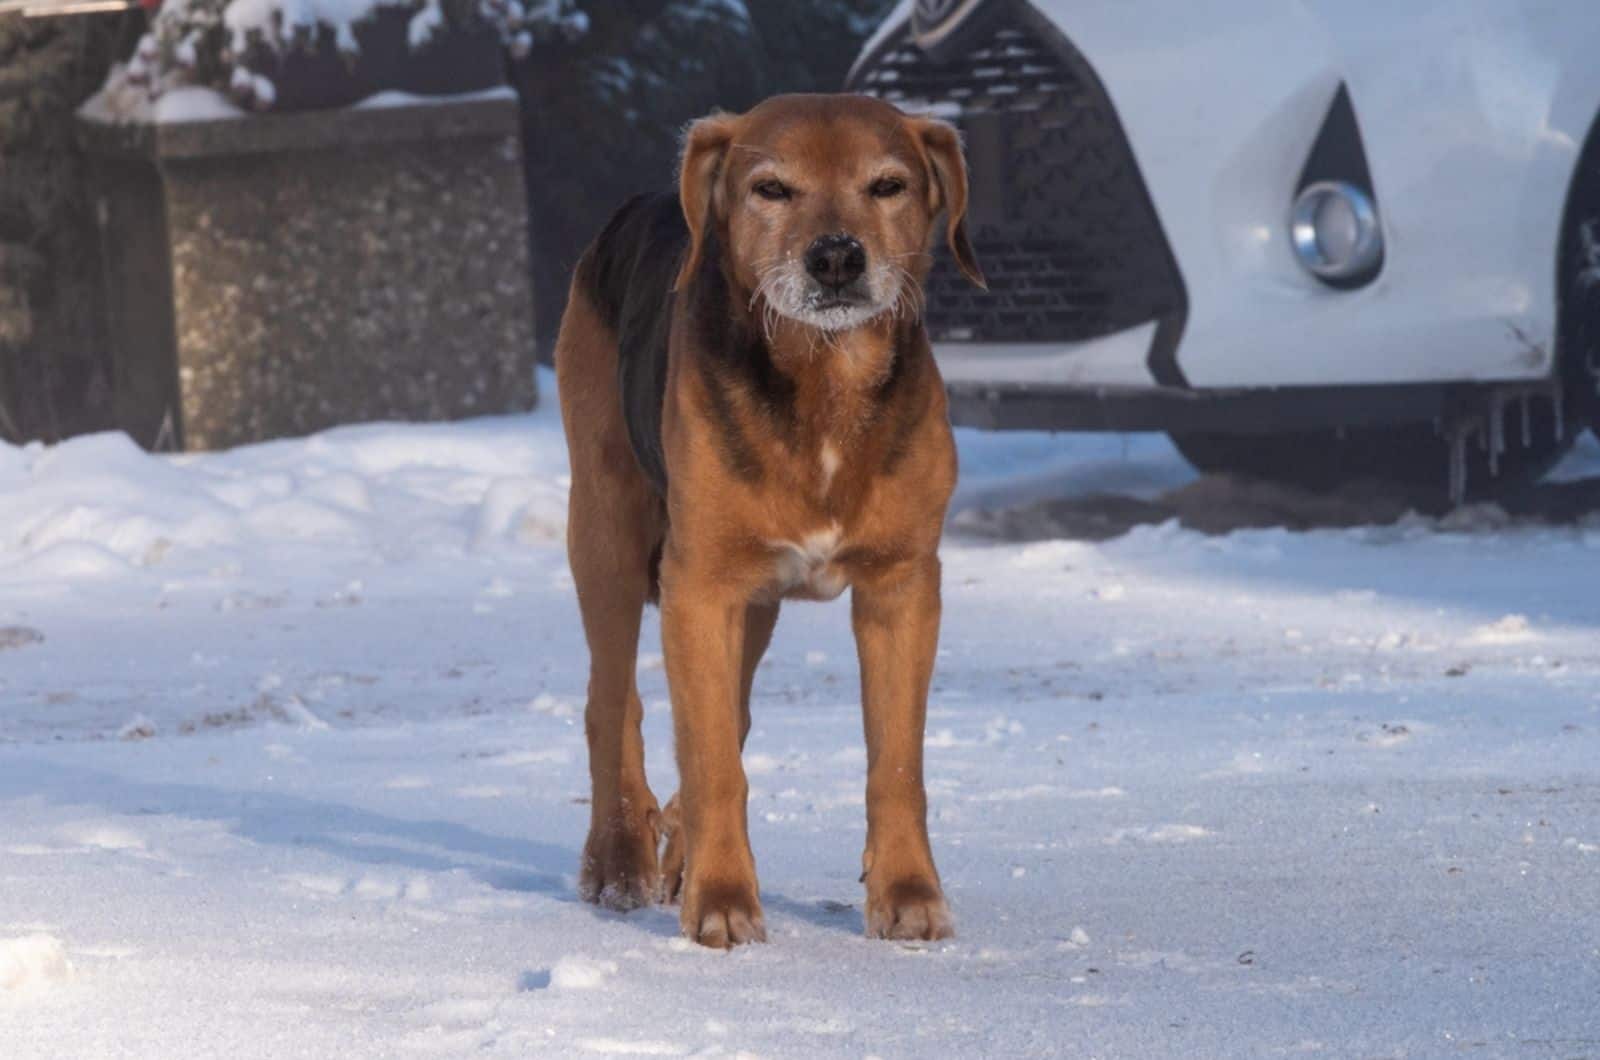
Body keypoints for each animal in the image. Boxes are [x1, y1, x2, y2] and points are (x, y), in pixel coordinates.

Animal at [556, 93, 979, 954]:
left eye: (888, 185)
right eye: (772, 189)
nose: (837, 258)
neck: (826, 378)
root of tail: (637, 205)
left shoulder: (902, 585)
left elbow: (896, 765)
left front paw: (908, 896)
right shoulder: (699, 585)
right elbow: (714, 760)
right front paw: (721, 903)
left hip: (751, 604)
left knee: (724, 712)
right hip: (607, 531)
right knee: (612, 702)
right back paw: (618, 858)